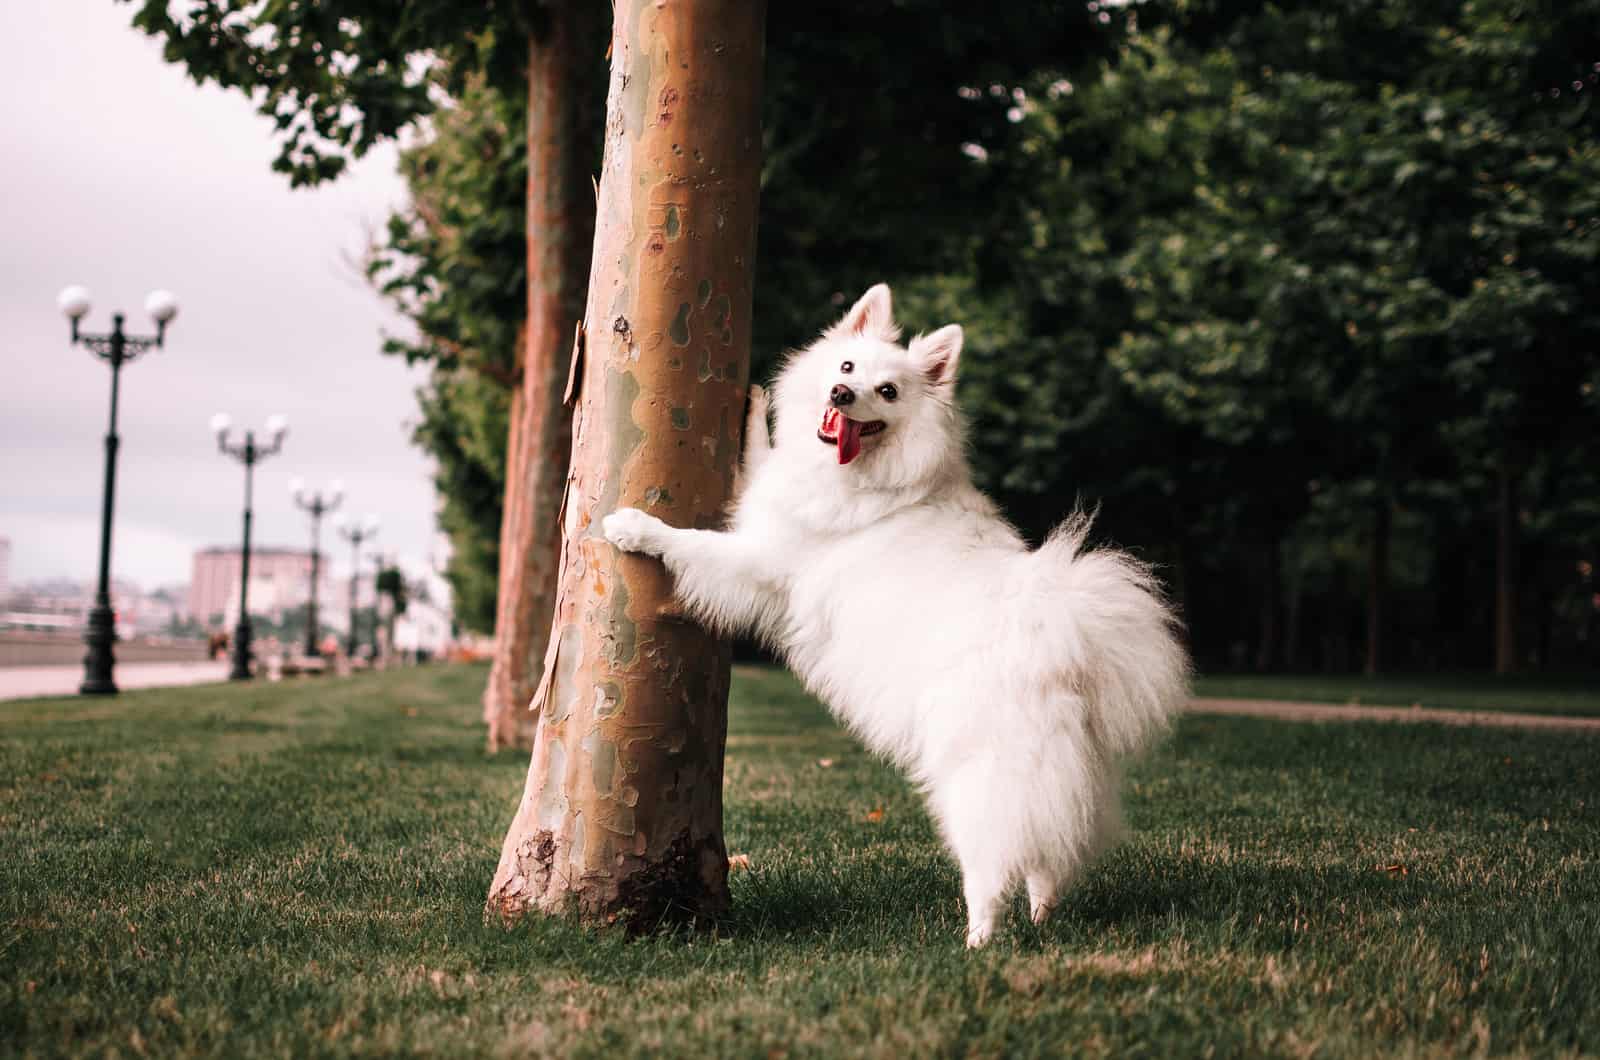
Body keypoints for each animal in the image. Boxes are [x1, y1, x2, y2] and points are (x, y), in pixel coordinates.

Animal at [604, 285, 1196, 947]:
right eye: (846, 366)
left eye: (887, 391)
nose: (841, 394)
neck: (862, 472)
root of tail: (1063, 643)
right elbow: (761, 460)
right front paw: (757, 409)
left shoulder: (760, 560)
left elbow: (691, 544)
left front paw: (635, 528)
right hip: (1064, 779)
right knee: (1050, 856)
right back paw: (1041, 917)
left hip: (978, 780)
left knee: (994, 864)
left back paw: (978, 940)